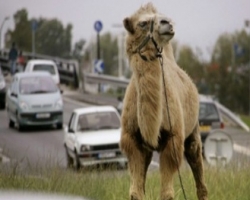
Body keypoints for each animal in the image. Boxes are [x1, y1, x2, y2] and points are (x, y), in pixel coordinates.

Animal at [120, 3, 208, 200]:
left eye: (161, 16)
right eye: (143, 23)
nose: (168, 23)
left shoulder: (174, 138)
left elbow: (167, 193)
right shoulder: (132, 139)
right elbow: (135, 192)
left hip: (193, 131)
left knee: (196, 162)